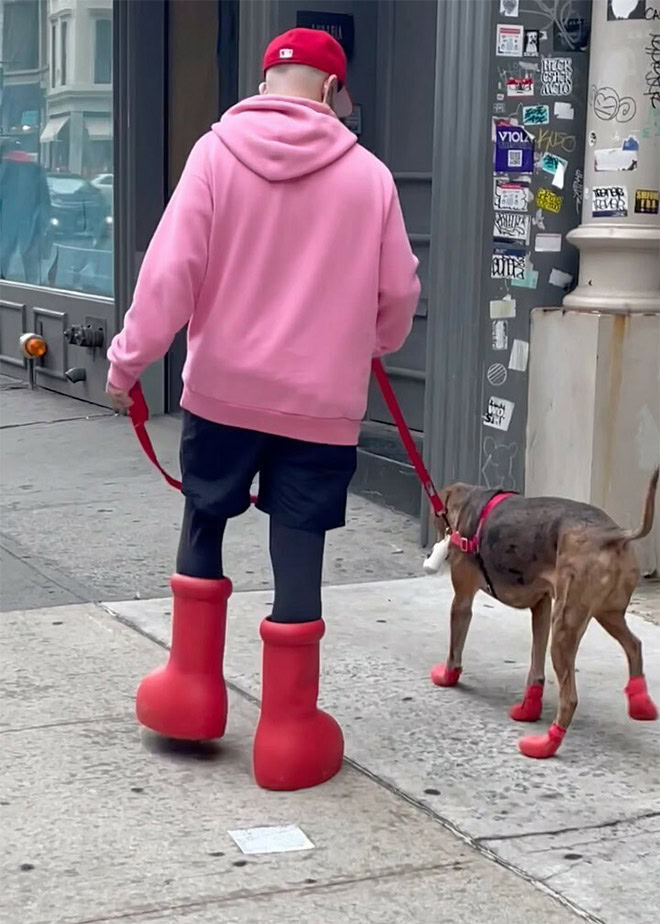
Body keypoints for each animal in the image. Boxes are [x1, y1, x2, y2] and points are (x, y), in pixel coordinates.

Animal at [430, 470, 656, 756]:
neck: (469, 500)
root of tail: (613, 534)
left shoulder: (462, 601)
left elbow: (454, 651)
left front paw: (447, 677)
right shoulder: (542, 606)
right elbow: (536, 667)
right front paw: (529, 708)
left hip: (565, 627)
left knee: (569, 699)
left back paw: (546, 744)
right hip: (608, 614)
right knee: (635, 645)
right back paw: (641, 704)